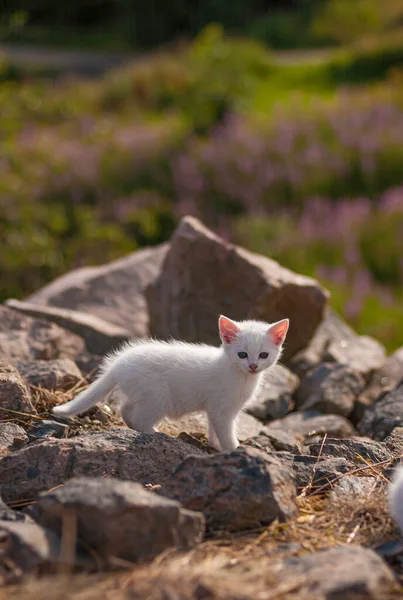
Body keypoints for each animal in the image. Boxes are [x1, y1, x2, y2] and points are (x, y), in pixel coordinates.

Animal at [52, 318, 288, 450]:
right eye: (242, 354)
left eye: (264, 355)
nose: (253, 365)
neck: (241, 376)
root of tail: (118, 365)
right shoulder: (222, 410)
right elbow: (226, 433)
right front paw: (235, 449)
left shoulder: (216, 409)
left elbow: (214, 430)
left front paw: (215, 446)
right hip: (159, 397)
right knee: (140, 418)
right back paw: (155, 433)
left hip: (144, 394)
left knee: (127, 409)